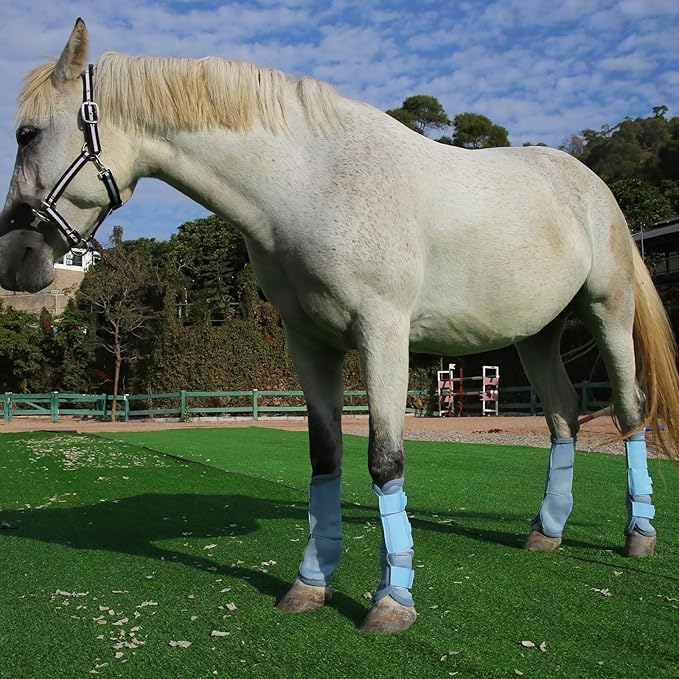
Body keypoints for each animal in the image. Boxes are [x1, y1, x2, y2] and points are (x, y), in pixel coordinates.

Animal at [1, 19, 678, 634]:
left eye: (27, 133)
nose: (15, 260)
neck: (310, 184)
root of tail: (591, 186)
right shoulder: (309, 341)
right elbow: (325, 456)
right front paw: (310, 582)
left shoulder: (383, 333)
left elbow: (384, 460)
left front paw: (392, 600)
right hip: (536, 336)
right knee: (564, 416)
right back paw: (547, 531)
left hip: (608, 313)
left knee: (627, 411)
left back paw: (638, 533)